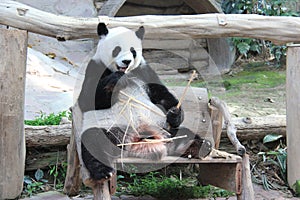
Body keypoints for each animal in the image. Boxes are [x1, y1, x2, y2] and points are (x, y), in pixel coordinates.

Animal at [78, 23, 213, 183]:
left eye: (133, 51)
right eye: (117, 49)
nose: (127, 61)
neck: (127, 73)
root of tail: (138, 140)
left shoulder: (144, 71)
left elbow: (162, 95)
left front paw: (175, 114)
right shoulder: (95, 67)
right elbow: (87, 100)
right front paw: (117, 78)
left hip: (163, 129)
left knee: (184, 134)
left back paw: (201, 146)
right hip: (113, 129)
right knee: (94, 141)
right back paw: (103, 171)